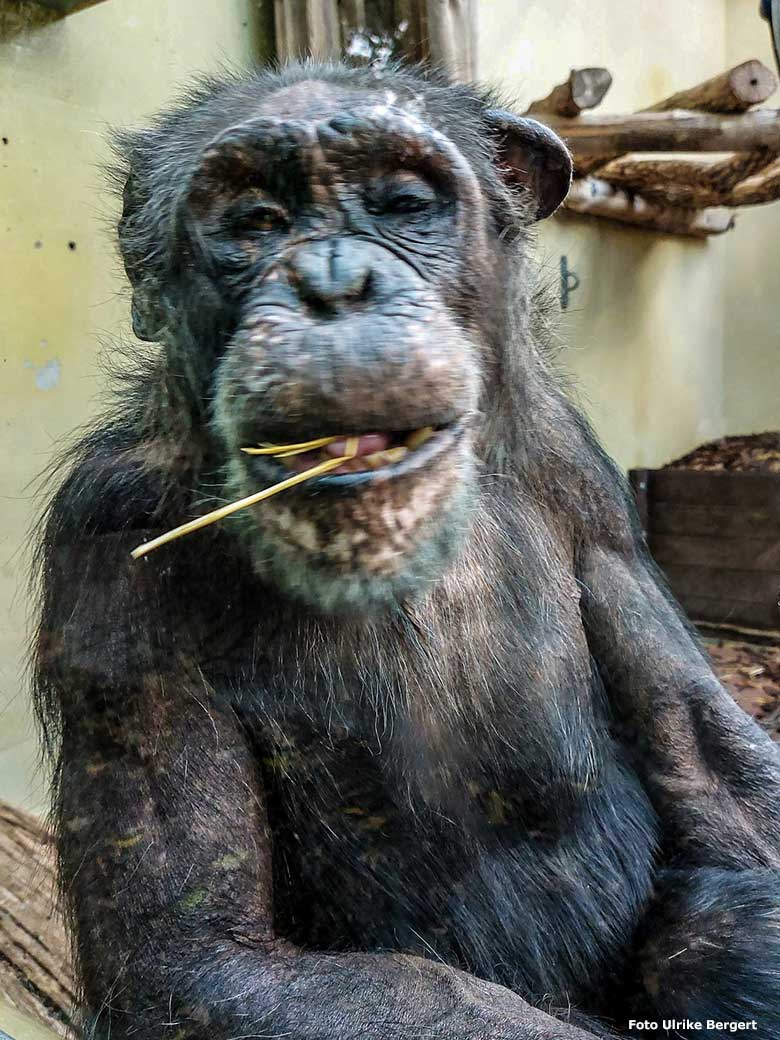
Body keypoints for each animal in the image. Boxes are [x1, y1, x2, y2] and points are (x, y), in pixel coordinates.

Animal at [33, 62, 780, 1040]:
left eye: (401, 205)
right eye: (255, 222)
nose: (333, 281)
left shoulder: (578, 477)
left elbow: (710, 763)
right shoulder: (105, 547)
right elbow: (194, 955)